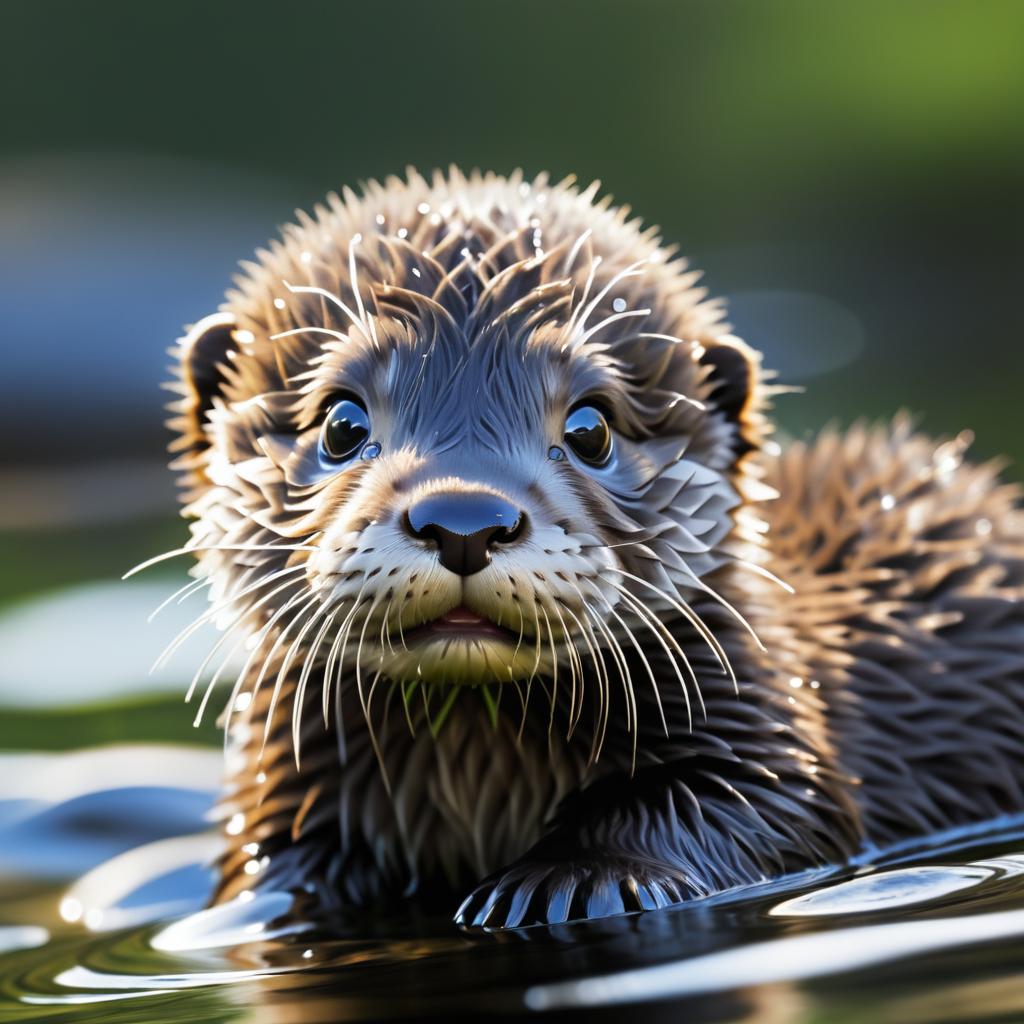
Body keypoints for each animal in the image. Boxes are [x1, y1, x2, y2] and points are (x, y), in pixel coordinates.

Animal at [161, 167, 1024, 929]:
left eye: (590, 426)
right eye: (342, 423)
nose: (464, 519)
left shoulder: (766, 731)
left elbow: (742, 797)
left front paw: (570, 882)